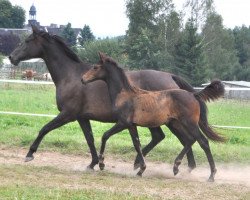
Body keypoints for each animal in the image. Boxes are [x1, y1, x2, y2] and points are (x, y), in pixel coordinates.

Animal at [9, 25, 201, 170]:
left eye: (27, 41)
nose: (11, 57)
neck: (71, 76)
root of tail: (170, 77)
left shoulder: (68, 114)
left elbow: (44, 129)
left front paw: (29, 154)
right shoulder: (82, 117)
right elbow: (90, 139)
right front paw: (94, 163)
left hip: (170, 121)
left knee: (184, 138)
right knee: (166, 138)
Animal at [81, 52, 225, 181]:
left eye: (95, 67)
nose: (83, 79)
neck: (125, 95)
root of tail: (193, 95)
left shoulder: (123, 123)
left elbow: (105, 135)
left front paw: (101, 164)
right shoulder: (131, 125)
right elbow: (137, 144)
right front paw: (141, 169)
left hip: (189, 123)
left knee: (202, 141)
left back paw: (210, 175)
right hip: (176, 123)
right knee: (190, 139)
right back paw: (177, 167)